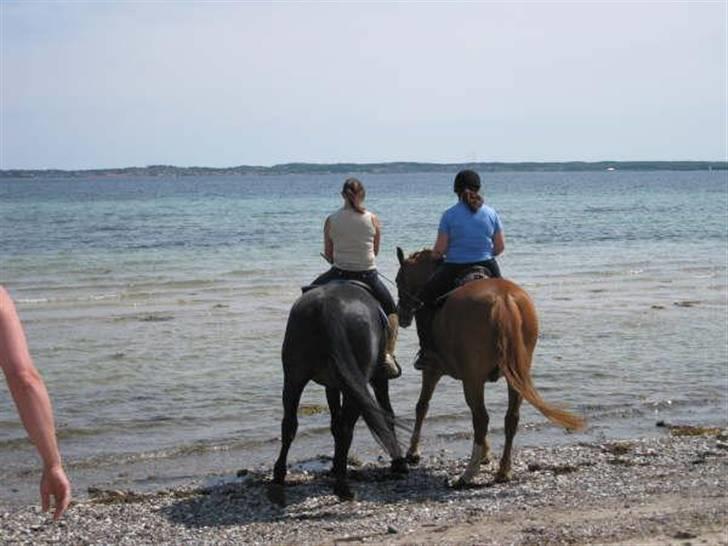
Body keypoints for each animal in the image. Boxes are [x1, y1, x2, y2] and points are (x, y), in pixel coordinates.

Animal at [396, 249, 584, 482]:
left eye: (398, 280)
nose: (402, 315)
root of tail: (503, 299)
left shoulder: (433, 371)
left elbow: (422, 406)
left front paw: (413, 452)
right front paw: (487, 454)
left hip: (472, 380)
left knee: (481, 417)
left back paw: (469, 473)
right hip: (514, 378)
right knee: (510, 418)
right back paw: (503, 470)